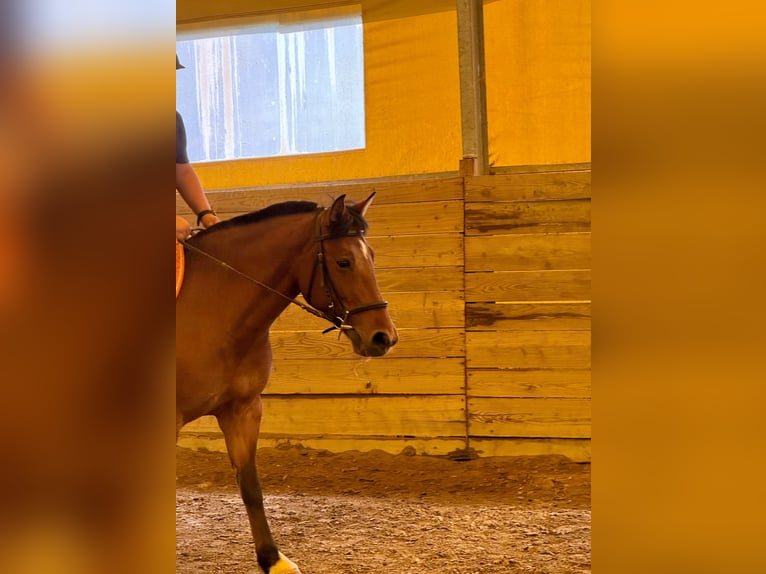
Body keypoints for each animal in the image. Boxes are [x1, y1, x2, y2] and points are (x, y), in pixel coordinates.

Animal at [176, 193, 398, 574]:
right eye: (343, 262)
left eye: (371, 257)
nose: (384, 337)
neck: (211, 310)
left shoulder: (243, 409)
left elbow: (250, 485)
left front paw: (272, 559)